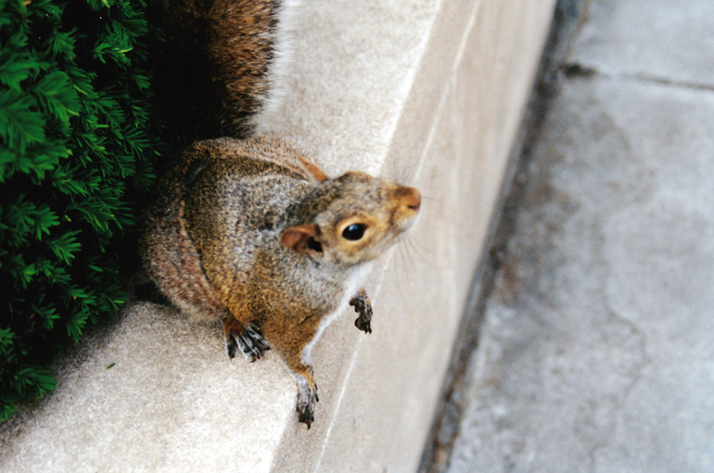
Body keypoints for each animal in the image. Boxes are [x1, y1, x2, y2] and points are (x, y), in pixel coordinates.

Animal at [140, 0, 418, 428]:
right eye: (353, 230)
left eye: (363, 178)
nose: (414, 199)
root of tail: (190, 153)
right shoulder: (287, 323)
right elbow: (293, 359)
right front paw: (305, 383)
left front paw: (363, 296)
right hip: (185, 282)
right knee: (218, 309)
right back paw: (236, 326)